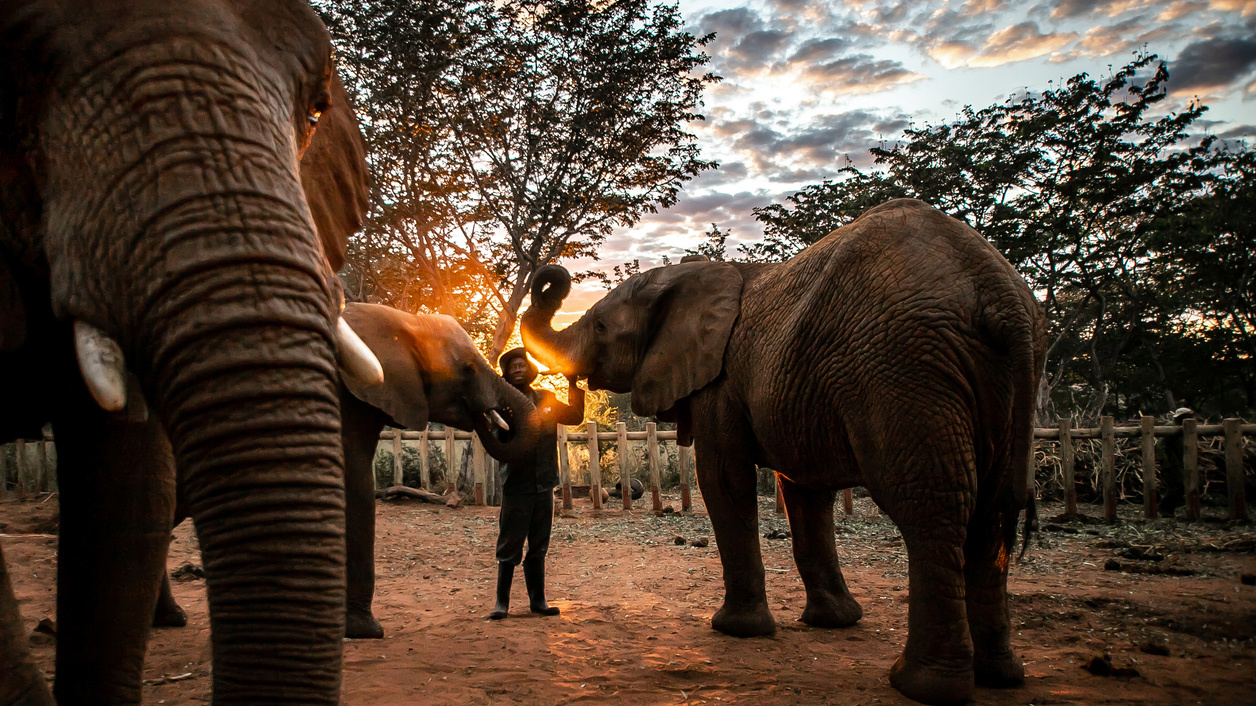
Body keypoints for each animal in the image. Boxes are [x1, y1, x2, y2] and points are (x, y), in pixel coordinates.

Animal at [153, 302, 540, 638]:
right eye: (468, 369)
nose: (490, 417)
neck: (403, 321)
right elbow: (354, 485)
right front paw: (364, 632)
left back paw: (172, 620)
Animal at [519, 198, 1050, 703]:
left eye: (601, 327)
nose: (552, 276)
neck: (694, 276)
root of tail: (1000, 294)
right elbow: (803, 488)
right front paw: (833, 621)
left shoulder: (721, 381)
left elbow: (724, 479)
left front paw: (736, 631)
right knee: (993, 515)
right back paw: (1001, 677)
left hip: (904, 367)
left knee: (932, 509)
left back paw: (919, 686)